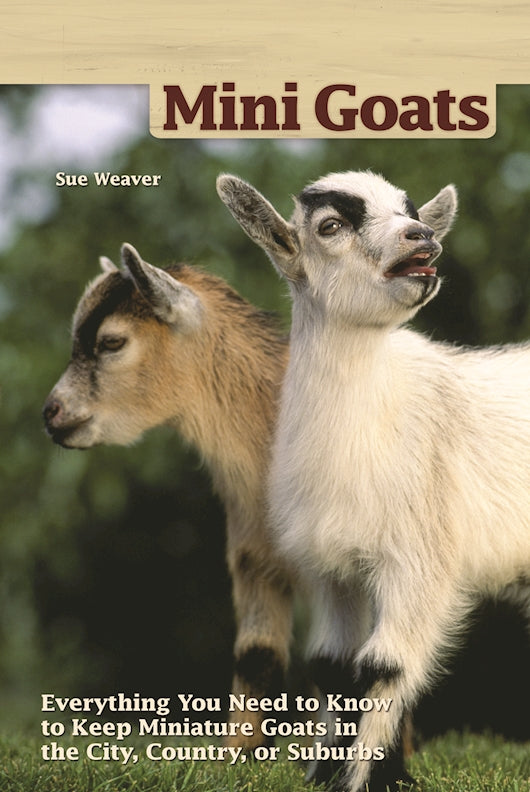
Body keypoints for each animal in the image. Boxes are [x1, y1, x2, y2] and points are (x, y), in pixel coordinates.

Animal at [217, 170, 530, 792]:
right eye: (331, 225)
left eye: (411, 210)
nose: (421, 236)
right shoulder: (331, 565)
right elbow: (332, 666)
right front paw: (323, 772)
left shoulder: (420, 555)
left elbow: (383, 666)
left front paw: (368, 779)